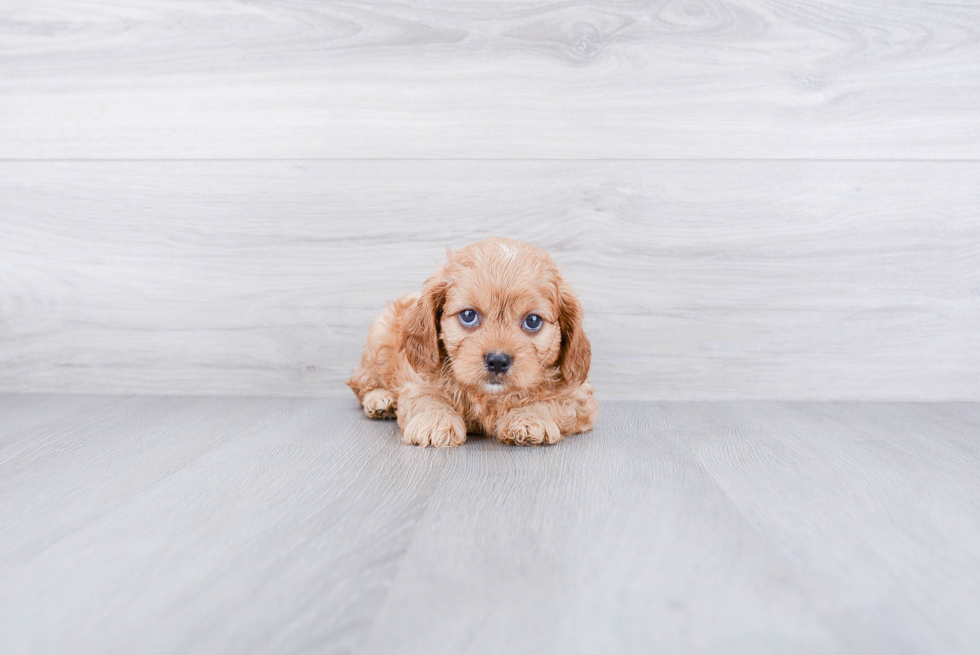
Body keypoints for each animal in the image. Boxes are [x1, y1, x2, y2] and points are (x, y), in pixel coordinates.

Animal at [348, 238, 600, 448]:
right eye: (468, 315)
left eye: (533, 321)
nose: (497, 361)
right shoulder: (419, 380)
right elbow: (429, 398)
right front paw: (434, 421)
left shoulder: (578, 396)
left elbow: (552, 402)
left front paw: (529, 418)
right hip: (378, 343)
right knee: (361, 383)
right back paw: (381, 400)